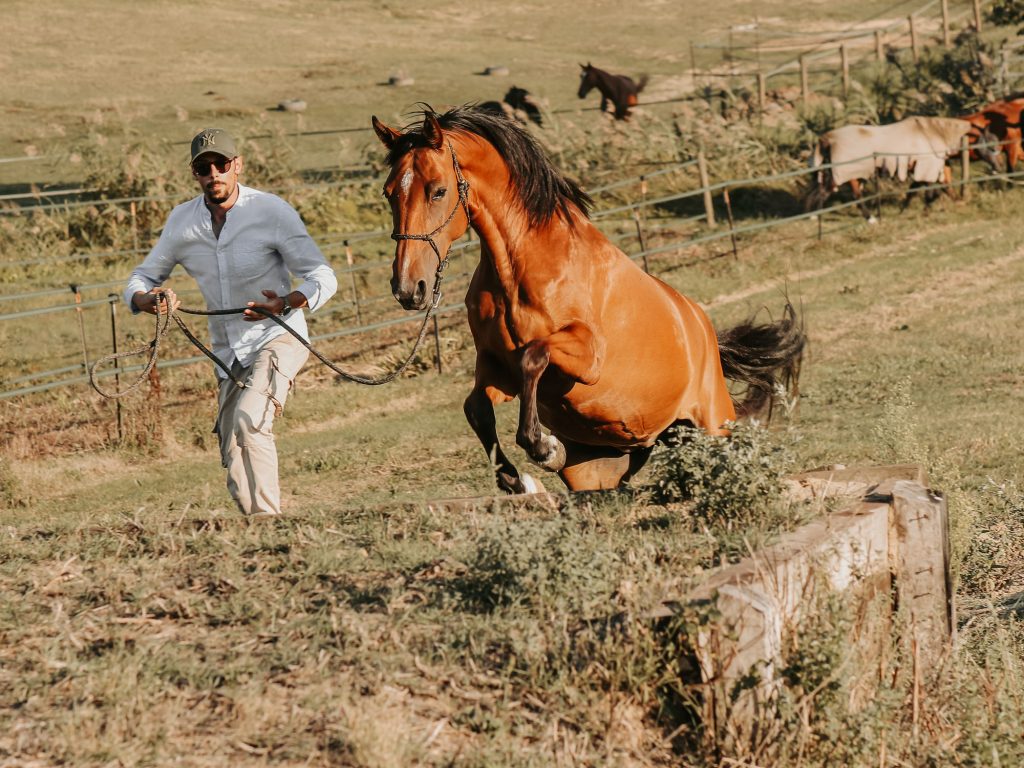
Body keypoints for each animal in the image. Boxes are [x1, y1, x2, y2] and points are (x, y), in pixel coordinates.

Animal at [371, 106, 805, 493]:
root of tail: (705, 330)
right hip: (603, 468)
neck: (523, 267)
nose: (409, 288)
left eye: (438, 191)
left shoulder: (586, 357)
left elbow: (534, 357)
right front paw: (516, 479)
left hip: (714, 425)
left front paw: (544, 447)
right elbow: (476, 408)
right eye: (389, 193)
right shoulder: (496, 367)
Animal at [805, 116, 974, 219]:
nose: (961, 203)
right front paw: (924, 211)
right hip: (848, 175)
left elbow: (916, 190)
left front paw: (904, 210)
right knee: (850, 195)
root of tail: (828, 139)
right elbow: (931, 192)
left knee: (825, 191)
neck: (930, 133)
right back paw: (870, 219)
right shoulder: (924, 168)